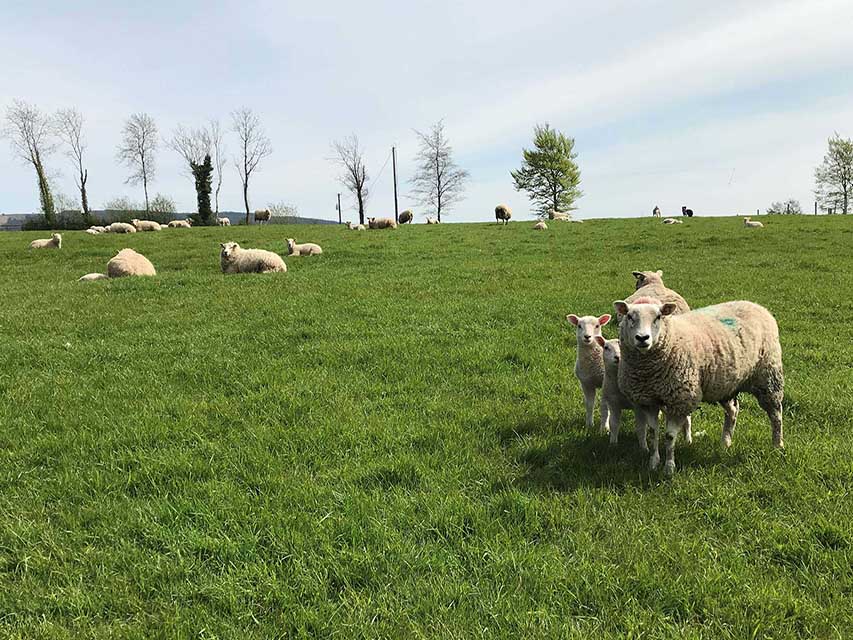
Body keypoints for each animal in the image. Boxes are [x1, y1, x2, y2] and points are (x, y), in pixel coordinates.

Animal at [614, 299, 784, 476]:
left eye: (658, 317)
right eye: (629, 316)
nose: (642, 338)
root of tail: (756, 305)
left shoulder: (679, 400)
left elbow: (669, 436)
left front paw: (669, 467)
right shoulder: (648, 401)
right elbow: (654, 433)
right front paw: (653, 463)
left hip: (768, 376)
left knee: (776, 414)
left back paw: (777, 445)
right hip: (724, 384)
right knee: (733, 410)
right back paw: (726, 442)